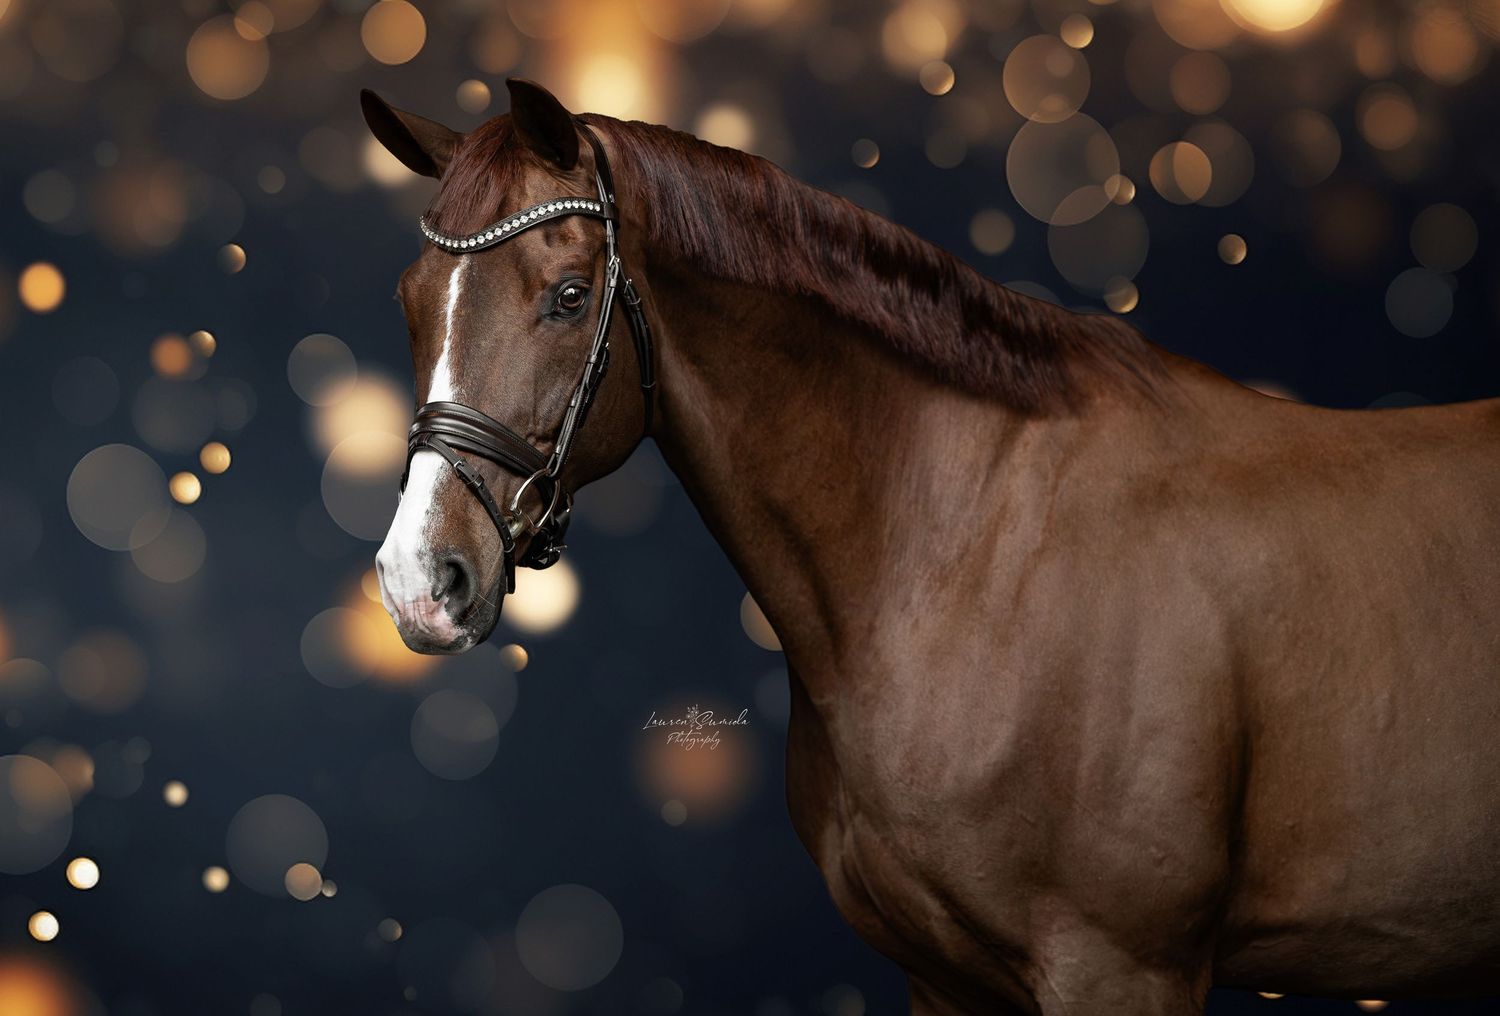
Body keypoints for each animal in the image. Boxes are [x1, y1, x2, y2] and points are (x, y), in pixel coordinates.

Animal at [363, 79, 1500, 1014]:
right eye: (409, 301)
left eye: (566, 295)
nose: (421, 580)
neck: (966, 552)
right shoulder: (942, 978)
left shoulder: (1124, 969)